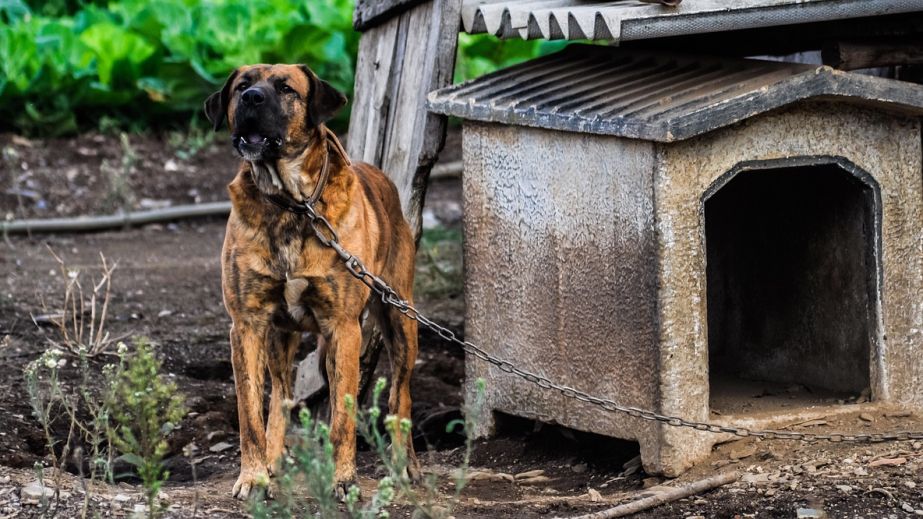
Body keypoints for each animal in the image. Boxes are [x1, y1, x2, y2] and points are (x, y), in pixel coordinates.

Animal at [204, 65, 420, 500]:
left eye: (286, 88)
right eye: (241, 86)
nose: (251, 98)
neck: (291, 204)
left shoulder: (343, 327)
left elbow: (343, 416)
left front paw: (345, 480)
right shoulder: (247, 325)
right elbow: (250, 411)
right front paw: (253, 476)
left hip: (400, 319)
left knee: (399, 396)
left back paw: (404, 465)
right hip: (279, 337)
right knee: (281, 395)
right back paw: (274, 460)